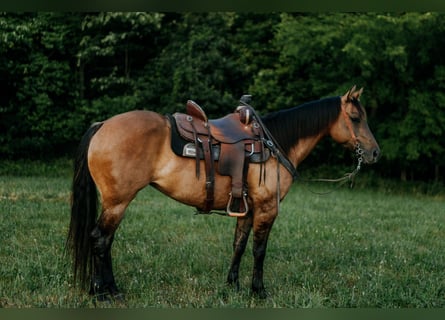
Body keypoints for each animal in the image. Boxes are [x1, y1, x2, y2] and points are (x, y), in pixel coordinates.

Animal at [66, 85, 378, 300]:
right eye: (355, 117)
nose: (375, 153)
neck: (275, 144)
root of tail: (102, 125)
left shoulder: (248, 208)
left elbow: (239, 244)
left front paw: (233, 284)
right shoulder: (267, 208)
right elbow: (259, 249)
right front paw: (258, 290)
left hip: (115, 203)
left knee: (104, 240)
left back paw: (104, 289)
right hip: (118, 202)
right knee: (100, 239)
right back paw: (105, 292)